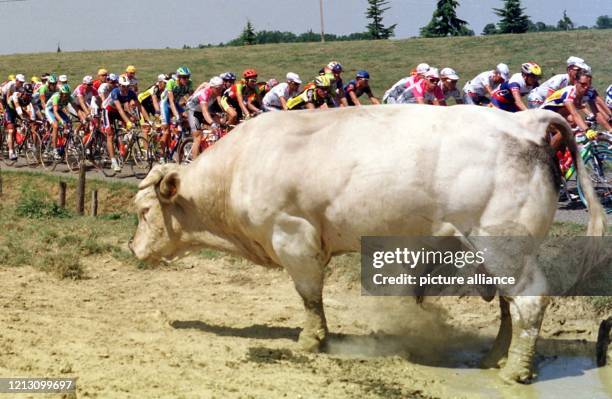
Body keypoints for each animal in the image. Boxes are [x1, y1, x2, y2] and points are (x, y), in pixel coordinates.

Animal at [130, 105, 608, 384]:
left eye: (144, 211)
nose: (133, 250)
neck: (239, 168)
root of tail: (524, 121)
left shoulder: (294, 236)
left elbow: (310, 297)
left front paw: (310, 342)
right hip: (498, 253)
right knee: (511, 307)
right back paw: (493, 358)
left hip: (503, 247)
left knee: (529, 302)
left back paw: (514, 371)